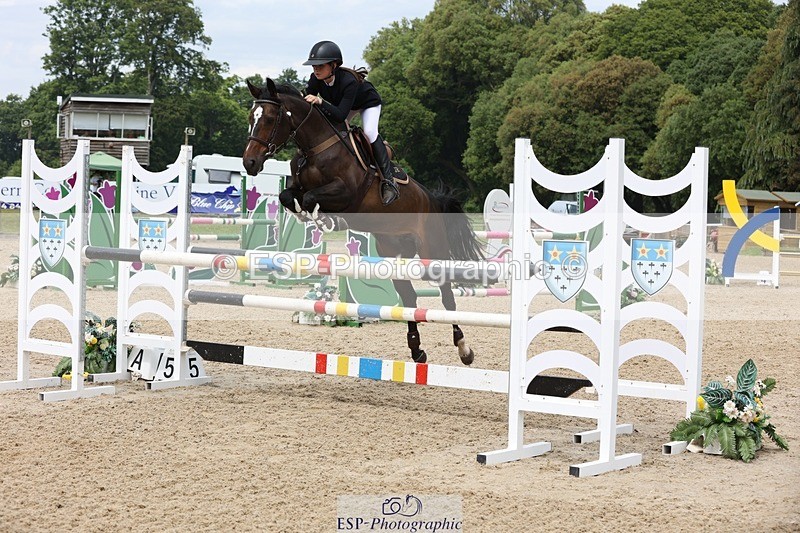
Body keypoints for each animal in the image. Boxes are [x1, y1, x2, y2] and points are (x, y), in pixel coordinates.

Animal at [242, 78, 483, 365]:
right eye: (250, 118)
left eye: (269, 119)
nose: (249, 163)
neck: (316, 148)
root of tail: (431, 199)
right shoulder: (298, 187)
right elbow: (288, 195)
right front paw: (308, 214)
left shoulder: (346, 193)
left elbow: (311, 197)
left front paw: (324, 219)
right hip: (393, 253)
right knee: (409, 297)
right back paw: (417, 350)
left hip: (431, 253)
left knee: (447, 297)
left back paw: (464, 350)